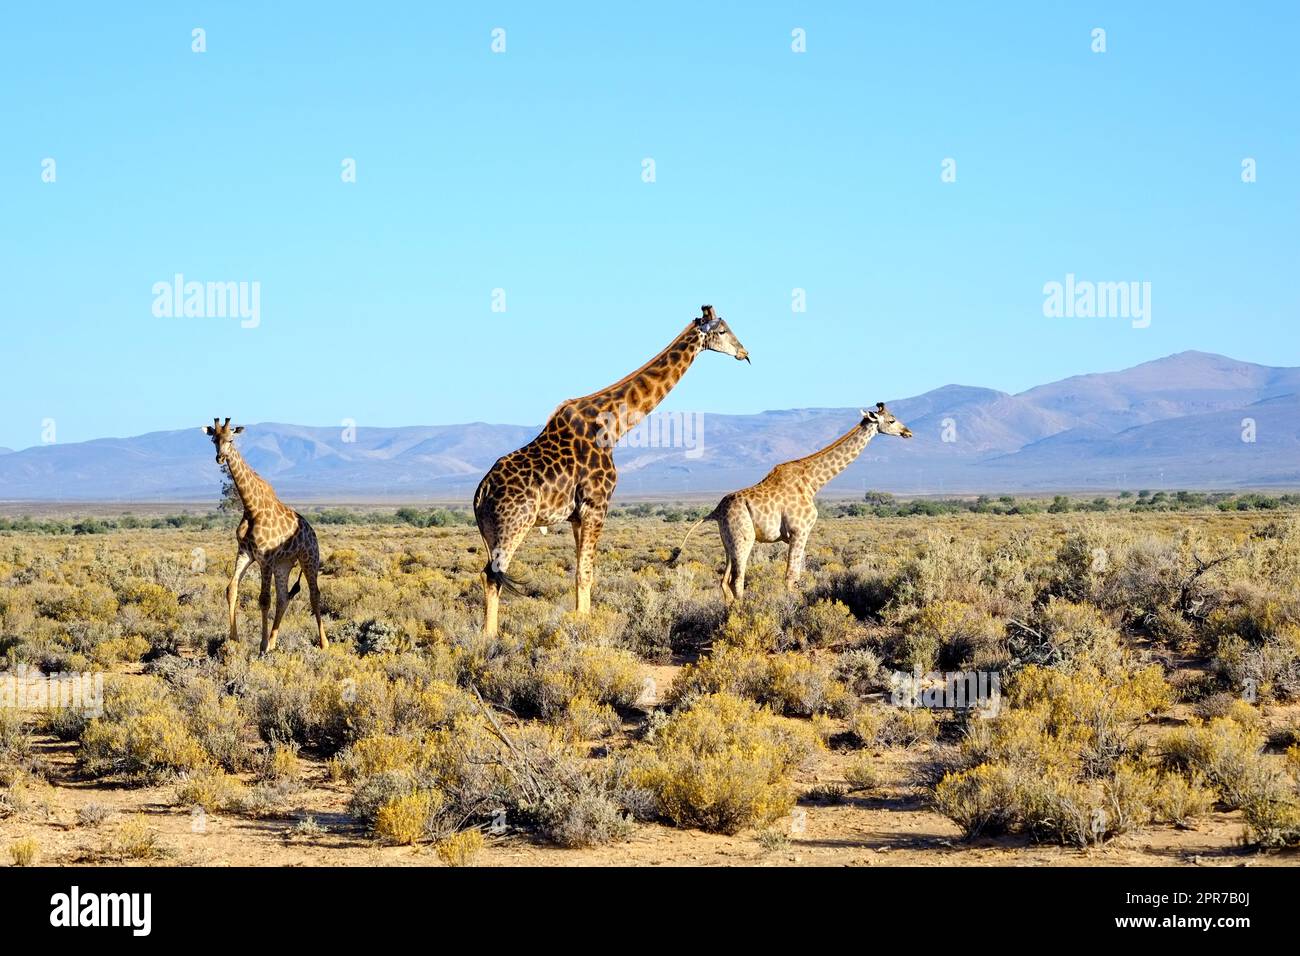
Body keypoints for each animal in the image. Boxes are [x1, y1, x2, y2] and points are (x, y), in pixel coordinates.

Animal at [202, 421, 327, 658]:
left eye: (231, 439)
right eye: (214, 440)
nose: (220, 458)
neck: (252, 509)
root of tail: (312, 531)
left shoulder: (265, 559)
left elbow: (263, 600)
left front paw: (260, 646)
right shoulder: (245, 553)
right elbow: (231, 589)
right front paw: (234, 639)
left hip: (309, 559)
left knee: (314, 595)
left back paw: (324, 643)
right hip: (284, 564)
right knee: (284, 598)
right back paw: (273, 643)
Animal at [475, 306, 754, 634]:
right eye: (722, 331)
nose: (744, 353)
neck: (612, 428)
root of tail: (481, 492)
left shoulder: (577, 515)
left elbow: (581, 573)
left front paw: (582, 620)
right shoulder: (597, 505)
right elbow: (585, 573)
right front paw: (585, 627)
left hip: (489, 531)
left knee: (488, 575)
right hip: (514, 525)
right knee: (494, 574)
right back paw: (490, 637)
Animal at [670, 403, 915, 598]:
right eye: (891, 420)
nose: (908, 432)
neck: (813, 482)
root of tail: (716, 510)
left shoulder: (795, 536)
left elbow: (798, 574)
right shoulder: (800, 530)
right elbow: (790, 576)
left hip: (728, 541)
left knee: (724, 581)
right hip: (743, 539)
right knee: (737, 581)